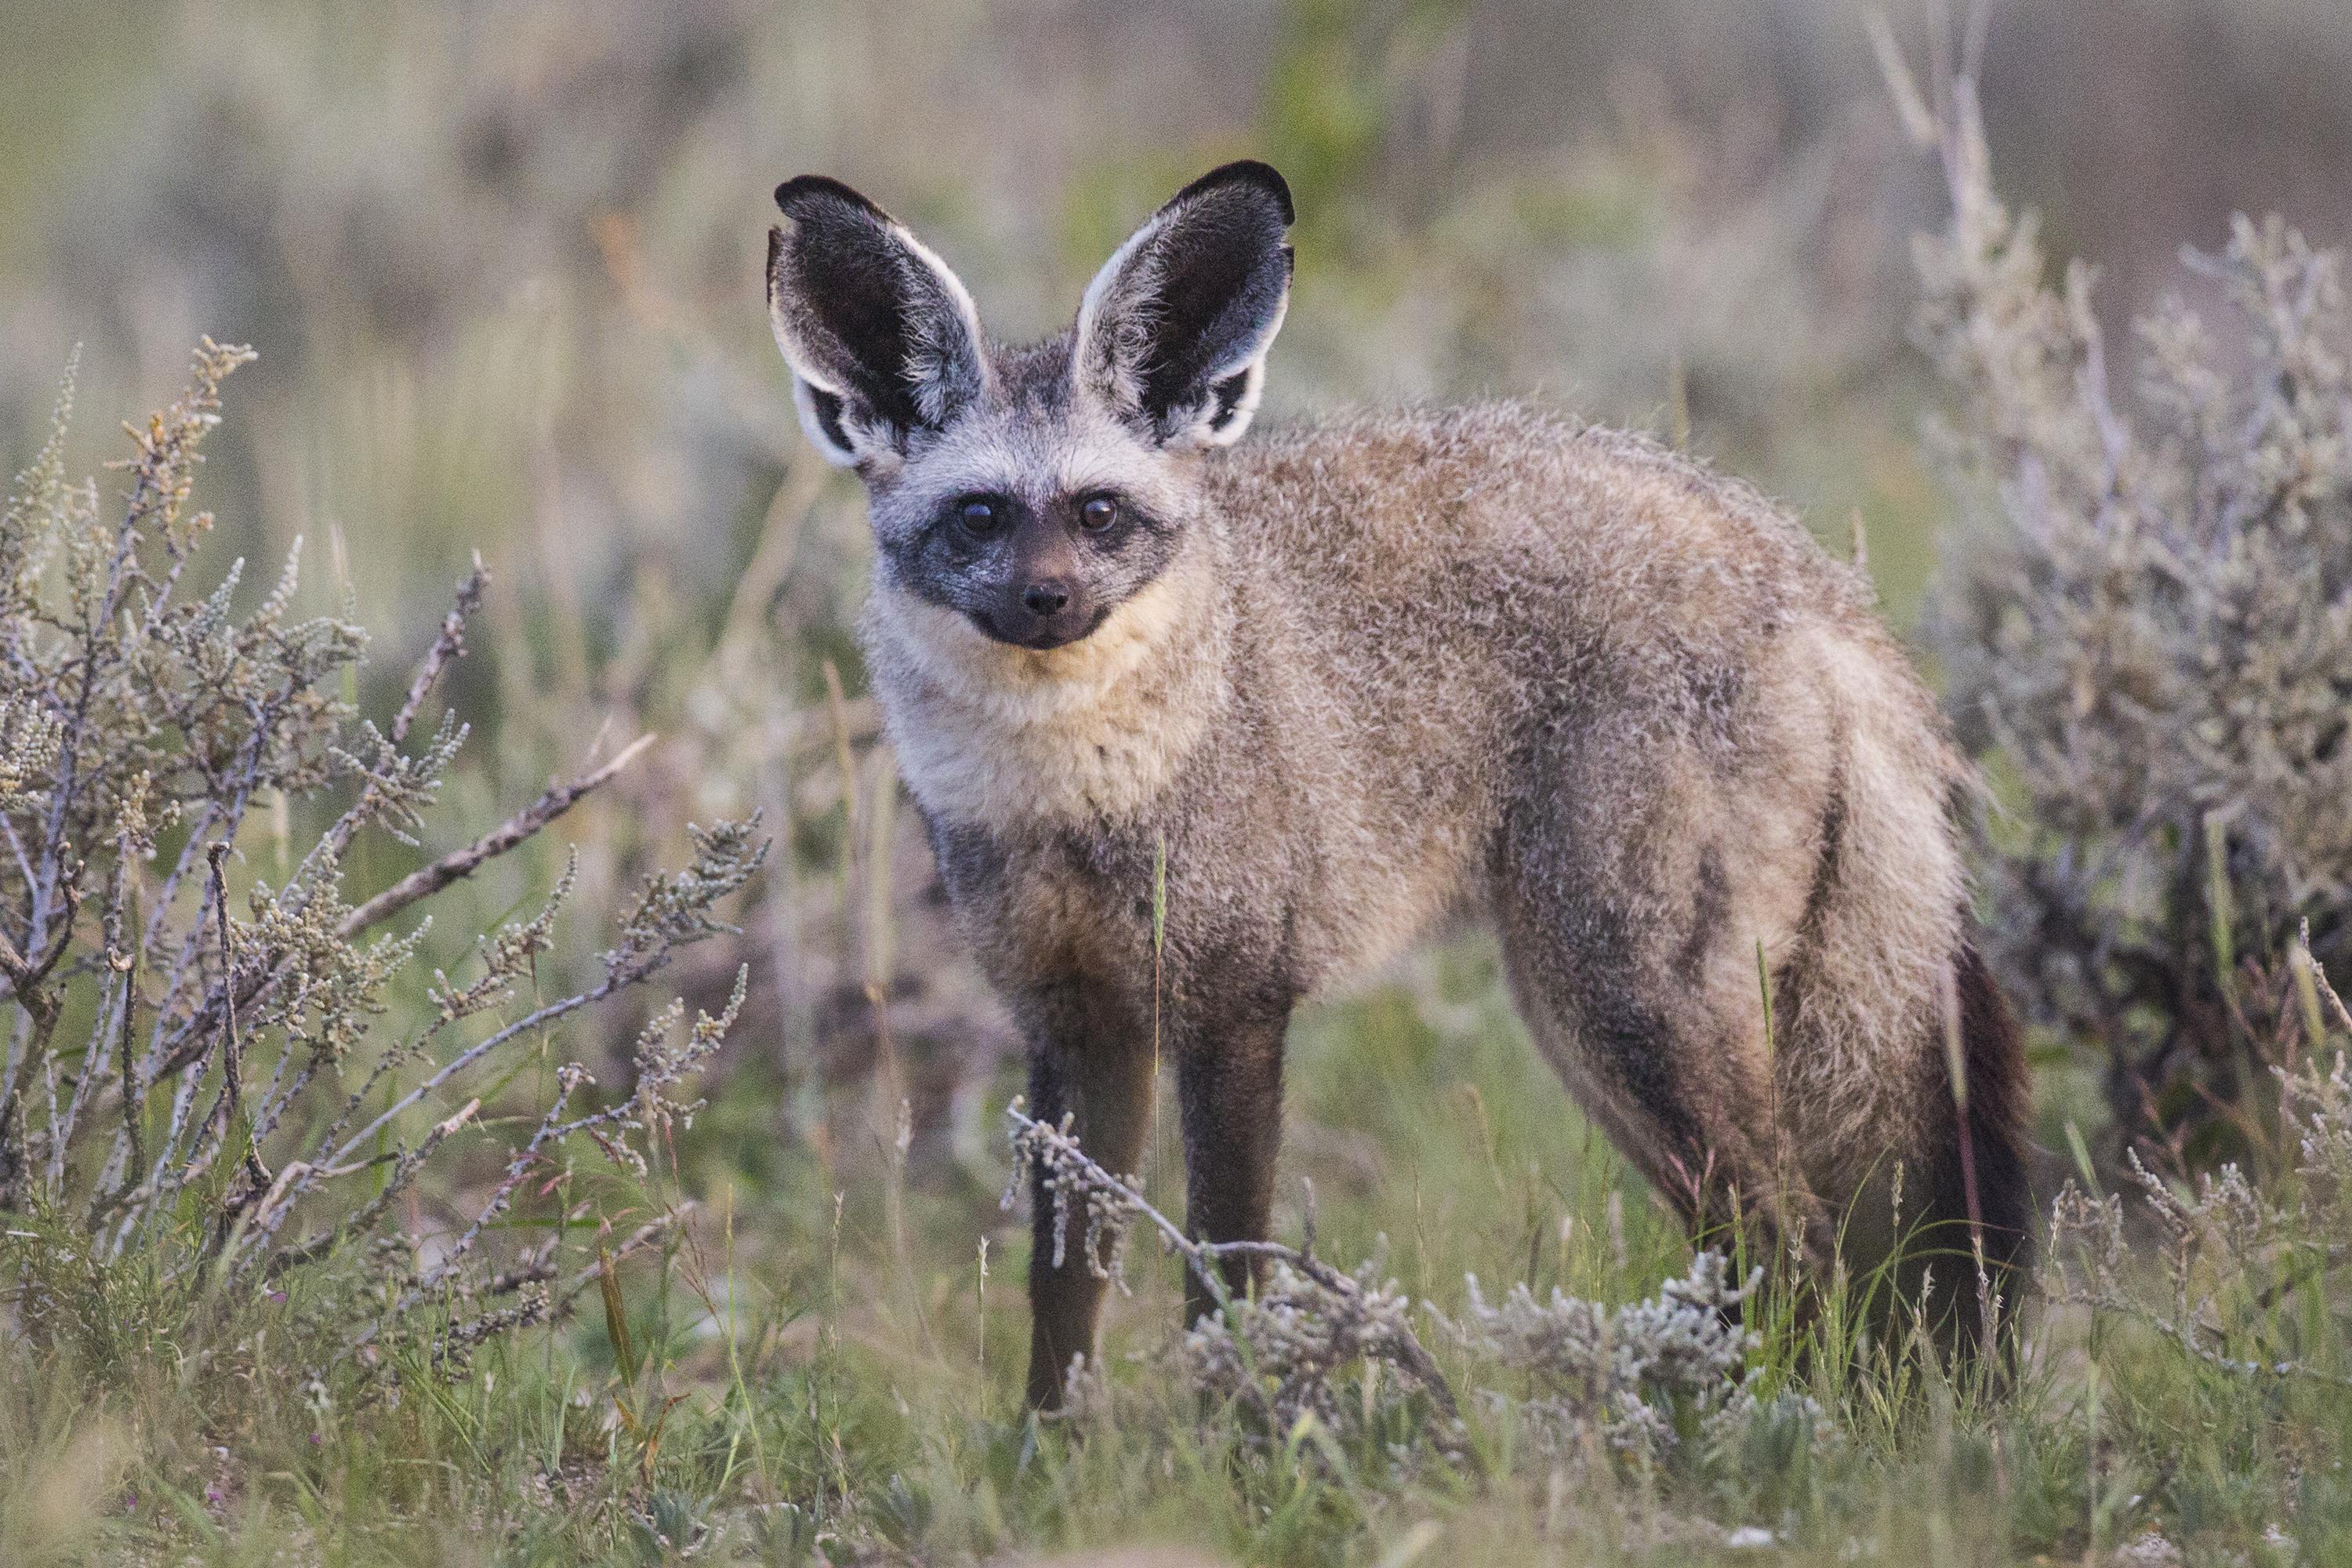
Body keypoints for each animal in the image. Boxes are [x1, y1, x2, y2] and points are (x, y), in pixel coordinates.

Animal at [767, 159, 2023, 1410]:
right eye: (980, 515)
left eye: (1098, 513)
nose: (1048, 601)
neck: (1076, 797)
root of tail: (1808, 576)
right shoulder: (1077, 1022)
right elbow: (1064, 1297)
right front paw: (1051, 1446)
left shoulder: (1235, 1004)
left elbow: (1225, 1274)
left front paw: (1237, 1437)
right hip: (1600, 1033)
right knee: (1762, 1253)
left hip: (1623, 1008)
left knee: (1797, 1246)